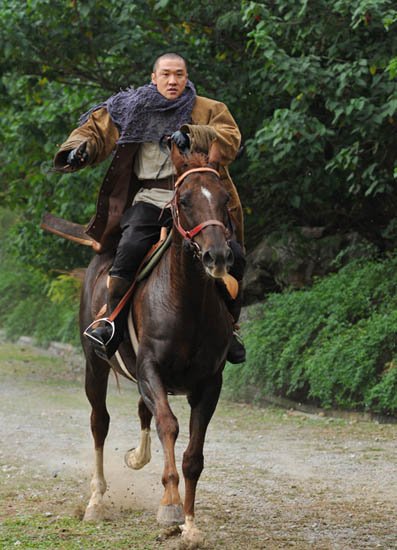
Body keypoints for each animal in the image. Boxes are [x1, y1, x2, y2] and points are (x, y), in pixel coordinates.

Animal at [79, 140, 235, 544]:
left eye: (225, 198)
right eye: (185, 200)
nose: (217, 256)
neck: (186, 302)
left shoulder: (210, 384)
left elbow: (193, 456)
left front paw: (190, 525)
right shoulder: (151, 370)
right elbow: (169, 425)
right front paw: (170, 508)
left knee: (141, 411)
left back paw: (137, 457)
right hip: (95, 365)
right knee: (99, 423)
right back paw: (96, 501)